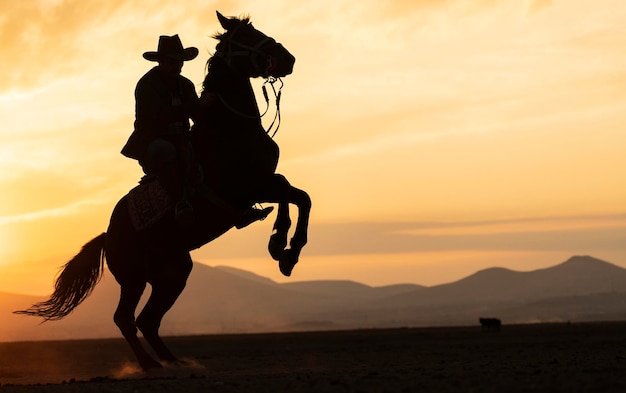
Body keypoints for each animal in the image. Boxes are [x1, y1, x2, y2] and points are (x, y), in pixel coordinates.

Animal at [18, 10, 310, 370]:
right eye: (247, 36)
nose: (287, 58)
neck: (230, 128)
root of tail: (107, 235)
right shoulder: (246, 188)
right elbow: (291, 196)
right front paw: (282, 246)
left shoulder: (262, 182)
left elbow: (297, 196)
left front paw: (284, 251)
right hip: (133, 278)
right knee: (125, 318)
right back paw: (149, 364)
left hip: (173, 274)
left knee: (148, 319)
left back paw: (173, 361)